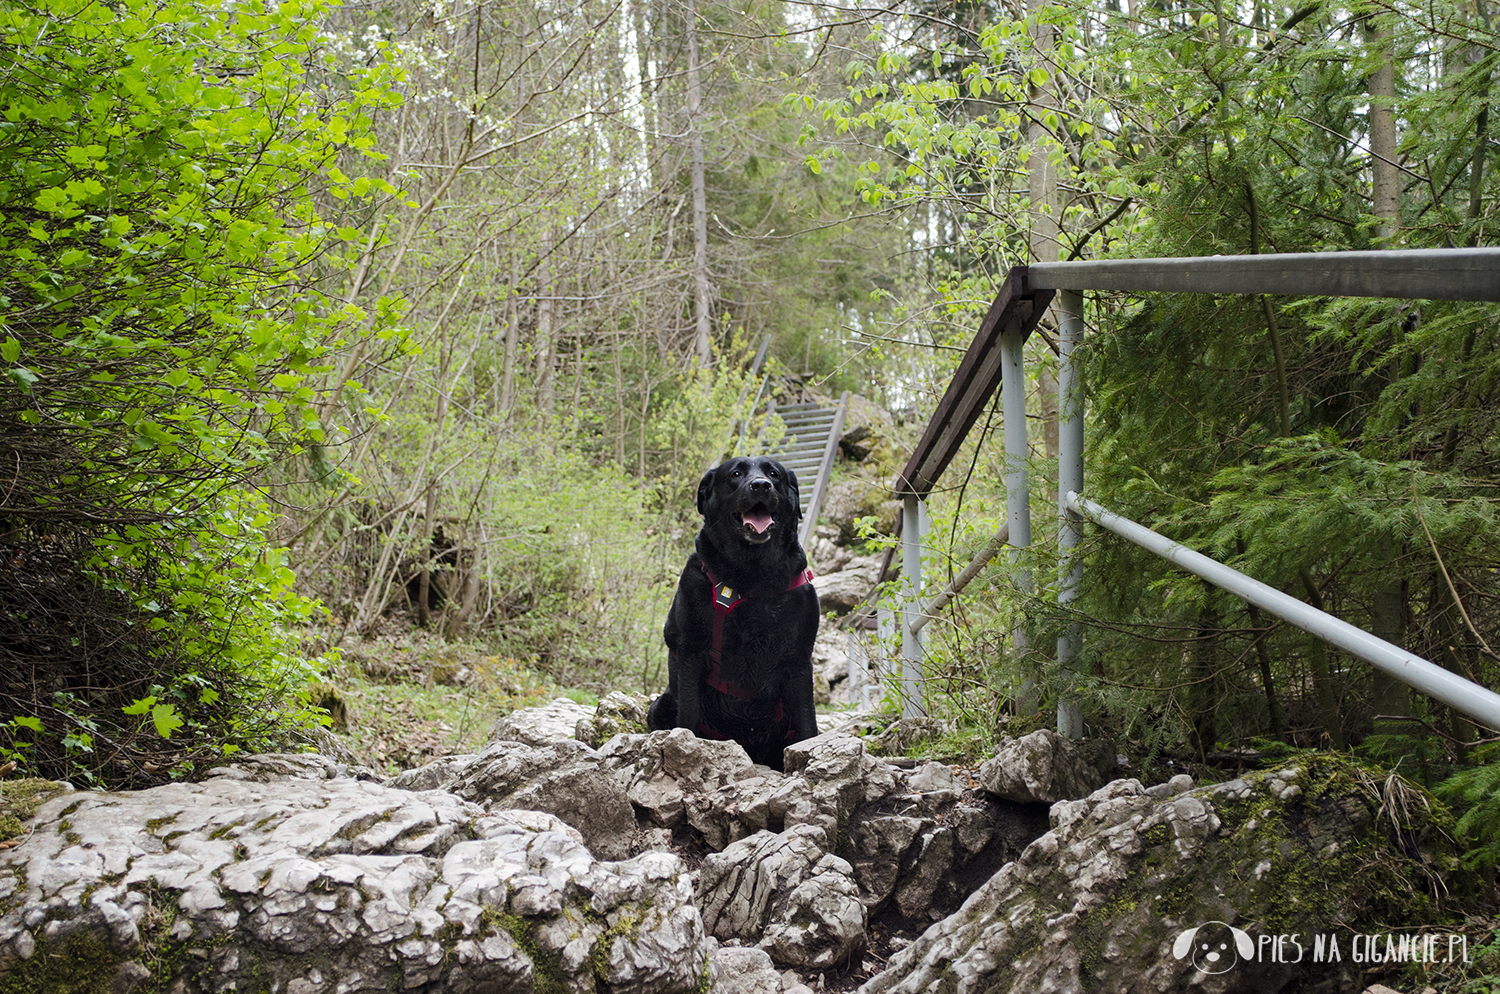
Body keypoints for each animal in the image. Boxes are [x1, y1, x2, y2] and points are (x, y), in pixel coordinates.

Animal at [648, 455, 822, 773]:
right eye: (736, 474)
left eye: (774, 474)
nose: (761, 485)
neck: (752, 576)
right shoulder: (689, 652)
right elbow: (688, 715)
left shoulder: (799, 661)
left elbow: (807, 722)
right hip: (660, 704)